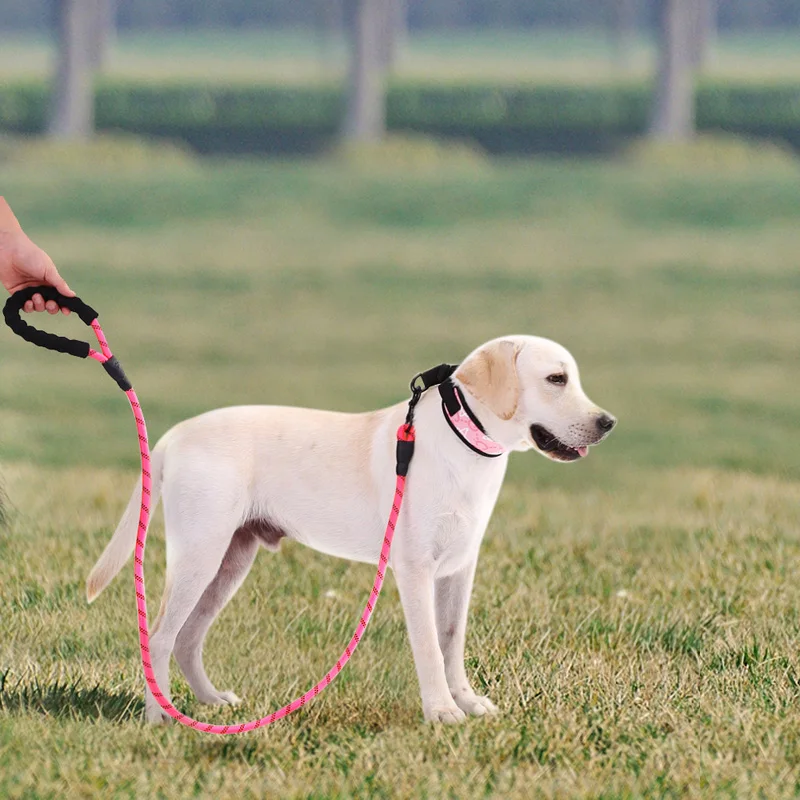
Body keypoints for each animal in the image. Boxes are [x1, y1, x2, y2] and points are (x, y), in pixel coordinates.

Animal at [87, 334, 616, 720]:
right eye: (555, 379)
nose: (608, 422)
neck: (465, 443)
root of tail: (174, 436)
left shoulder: (459, 570)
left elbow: (452, 640)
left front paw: (466, 701)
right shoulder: (415, 570)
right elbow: (429, 647)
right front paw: (442, 712)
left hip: (230, 561)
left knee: (187, 638)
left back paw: (211, 702)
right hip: (200, 554)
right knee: (160, 637)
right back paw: (160, 717)